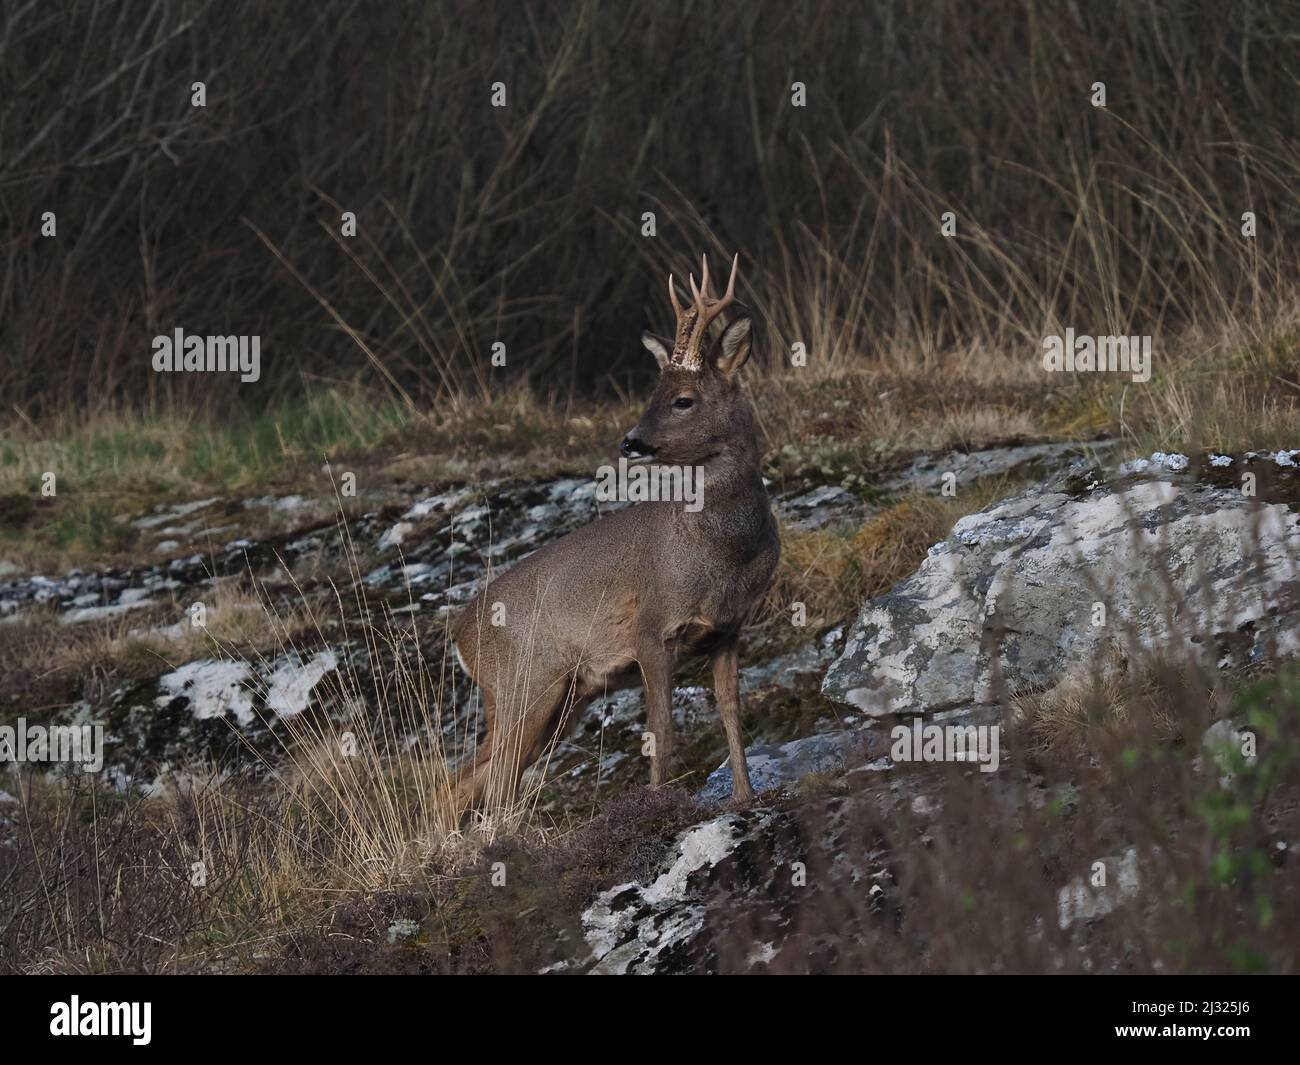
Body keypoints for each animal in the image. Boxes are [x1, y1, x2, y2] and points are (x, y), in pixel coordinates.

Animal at [452, 253, 774, 811]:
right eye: (651, 393)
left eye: (682, 399)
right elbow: (662, 730)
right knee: (484, 780)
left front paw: (744, 796)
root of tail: (460, 635)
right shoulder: (649, 627)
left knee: (468, 780)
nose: (631, 442)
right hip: (523, 687)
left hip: (560, 698)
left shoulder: (728, 629)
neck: (726, 551)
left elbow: (732, 713)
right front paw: (658, 806)